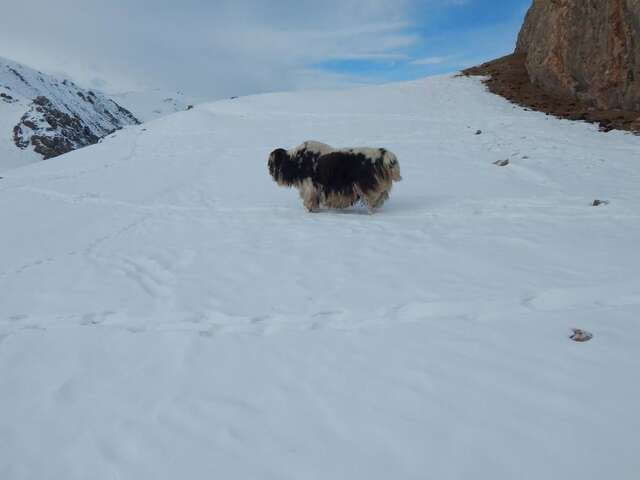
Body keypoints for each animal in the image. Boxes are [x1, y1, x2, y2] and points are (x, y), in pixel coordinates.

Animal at [268, 140, 400, 213]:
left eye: (271, 163)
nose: (270, 173)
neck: (296, 160)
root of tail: (384, 156)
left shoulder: (310, 187)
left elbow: (309, 201)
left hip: (368, 189)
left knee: (372, 203)